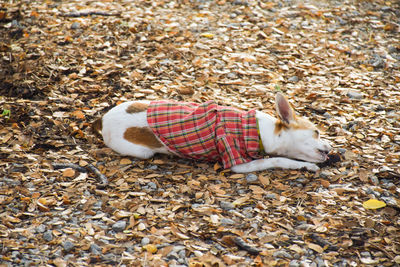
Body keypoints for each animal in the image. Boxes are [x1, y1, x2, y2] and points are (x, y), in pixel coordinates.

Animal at [93, 93, 332, 174]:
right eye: (316, 132)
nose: (331, 148)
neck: (258, 130)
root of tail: (103, 119)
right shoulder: (237, 163)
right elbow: (277, 160)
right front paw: (305, 166)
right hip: (142, 152)